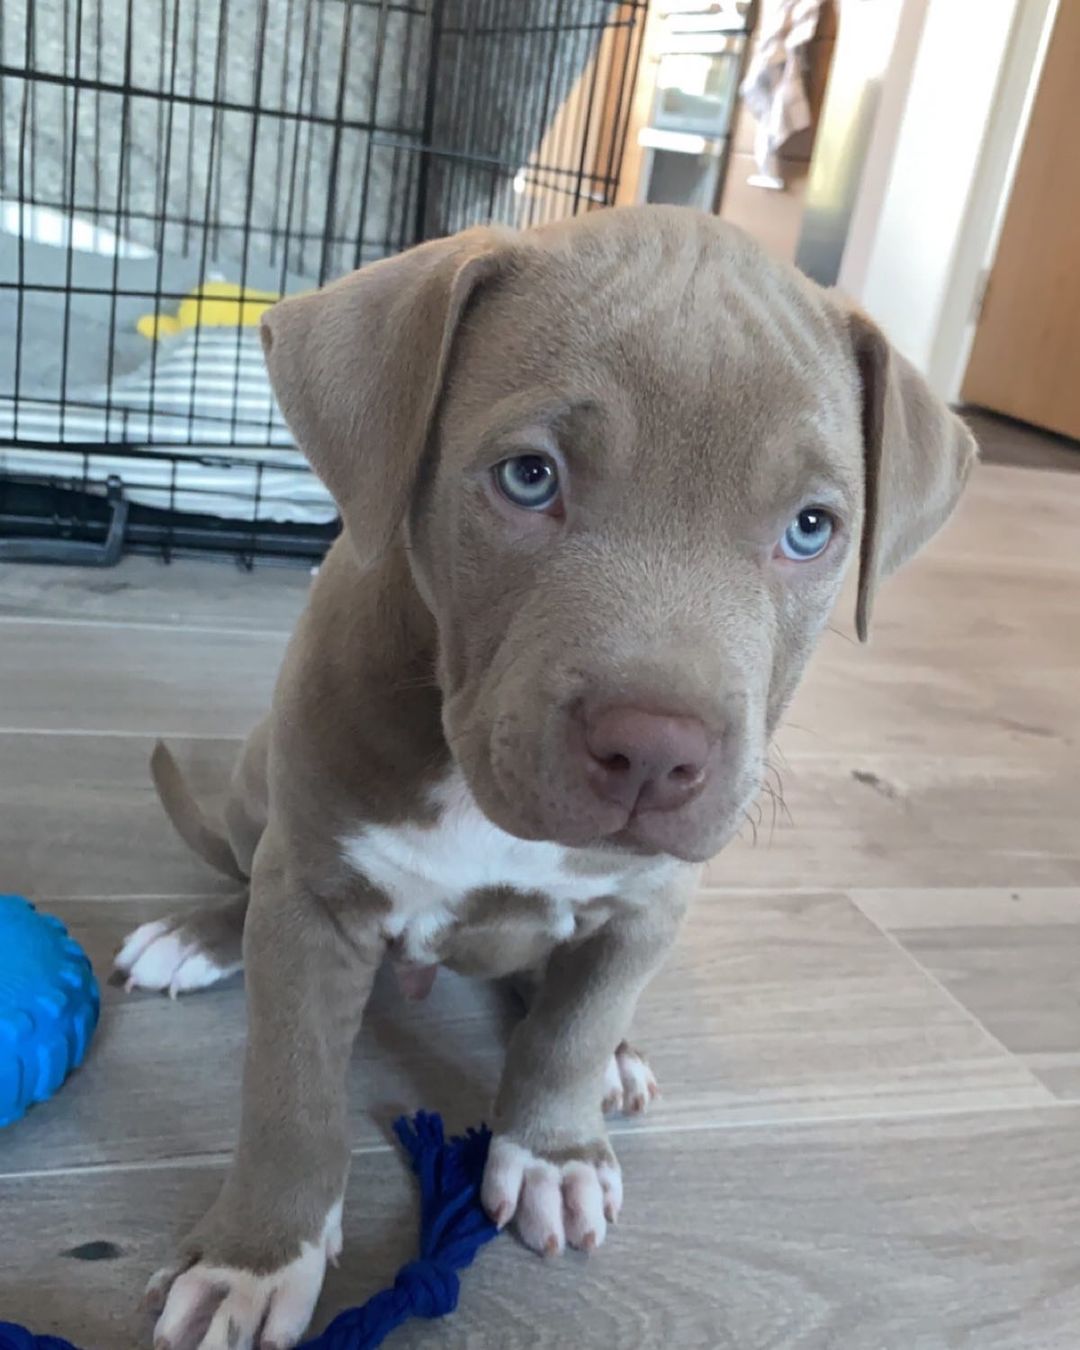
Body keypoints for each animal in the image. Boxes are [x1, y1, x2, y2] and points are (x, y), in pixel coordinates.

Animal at [114, 202, 972, 1350]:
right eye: (530, 477)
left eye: (810, 529)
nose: (656, 752)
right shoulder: (313, 897)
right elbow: (290, 1088)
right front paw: (255, 1260)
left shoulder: (653, 903)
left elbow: (573, 1027)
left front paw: (553, 1151)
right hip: (263, 783)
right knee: (247, 864)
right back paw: (199, 934)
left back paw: (612, 1060)